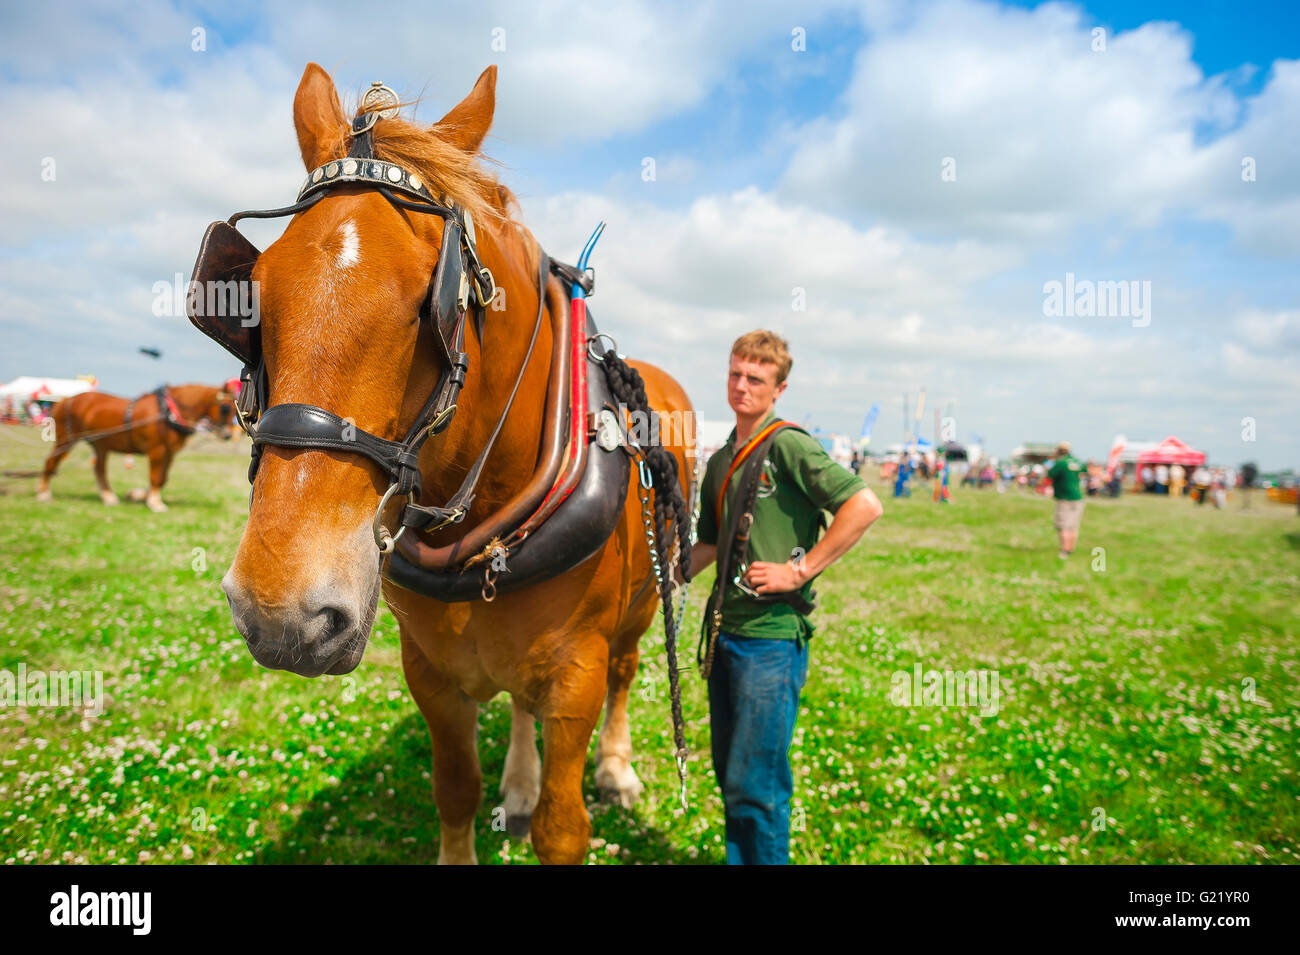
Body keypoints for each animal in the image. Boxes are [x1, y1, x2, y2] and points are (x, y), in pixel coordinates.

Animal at [37, 384, 236, 511]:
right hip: (66, 439)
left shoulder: (170, 453)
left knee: (99, 469)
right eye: (225, 408)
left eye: (235, 410)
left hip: (100, 445)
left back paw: (108, 496)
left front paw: (138, 495)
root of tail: (65, 400)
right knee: (51, 462)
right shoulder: (157, 450)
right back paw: (44, 493)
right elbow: (156, 477)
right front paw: (155, 502)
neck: (169, 412)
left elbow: (163, 478)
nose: (228, 435)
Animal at [216, 63, 694, 864]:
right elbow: (456, 790)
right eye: (251, 298)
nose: (282, 613)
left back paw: (616, 768)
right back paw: (520, 784)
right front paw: (506, 791)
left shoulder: (577, 678)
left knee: (628, 674)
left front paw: (575, 790)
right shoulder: (432, 674)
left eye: (427, 305)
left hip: (642, 608)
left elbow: (564, 827)